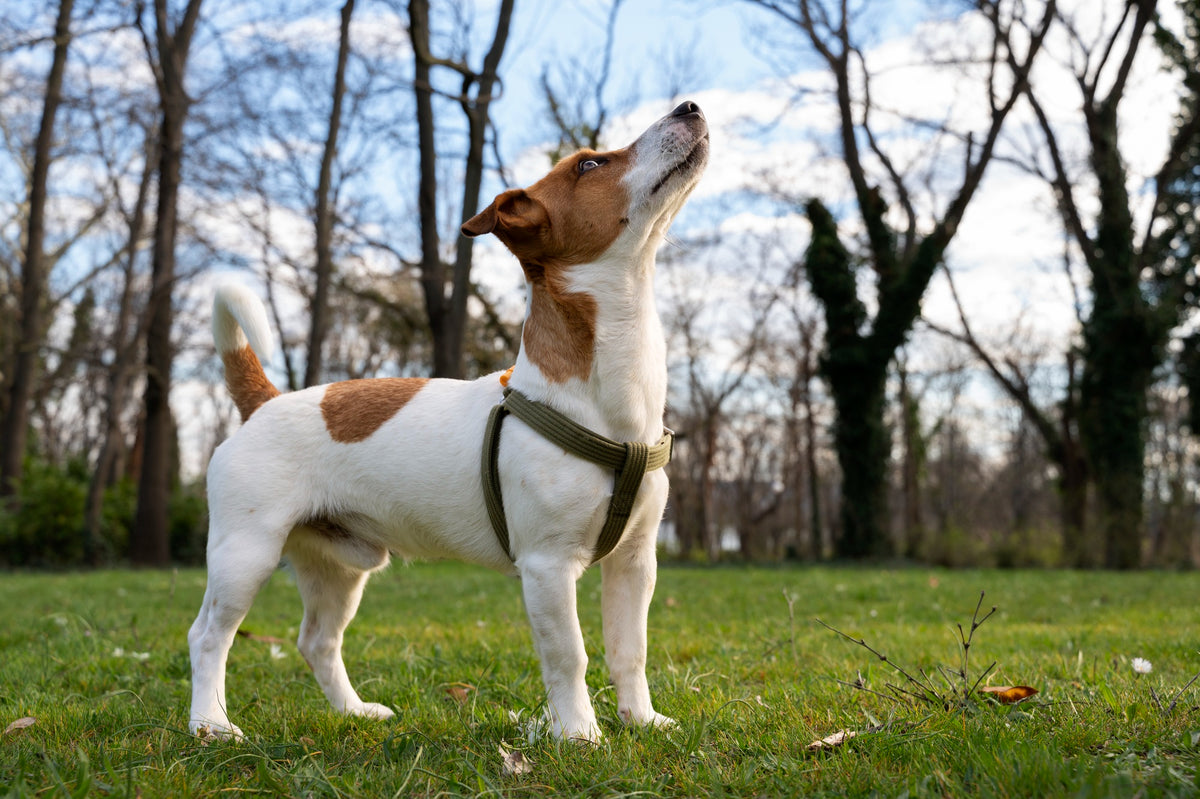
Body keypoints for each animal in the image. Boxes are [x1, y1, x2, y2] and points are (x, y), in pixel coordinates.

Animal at [187, 99, 705, 739]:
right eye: (589, 164)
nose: (690, 105)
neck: (607, 396)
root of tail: (264, 400)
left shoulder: (635, 564)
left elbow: (629, 651)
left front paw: (642, 721)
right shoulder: (547, 567)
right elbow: (570, 655)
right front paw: (580, 734)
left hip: (339, 565)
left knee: (317, 641)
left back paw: (353, 711)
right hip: (245, 555)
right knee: (209, 636)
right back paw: (210, 724)